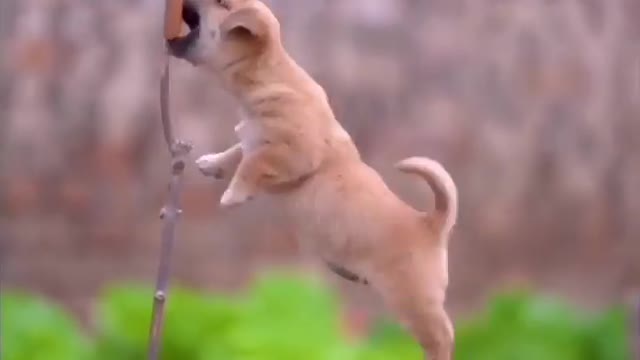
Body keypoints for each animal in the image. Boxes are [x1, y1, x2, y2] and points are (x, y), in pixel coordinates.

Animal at [169, 1, 460, 358]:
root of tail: (432, 224)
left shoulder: (296, 154)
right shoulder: (253, 138)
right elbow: (239, 151)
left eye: (223, 5)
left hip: (413, 301)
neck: (270, 77)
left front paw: (234, 193)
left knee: (442, 335)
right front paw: (212, 164)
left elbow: (253, 162)